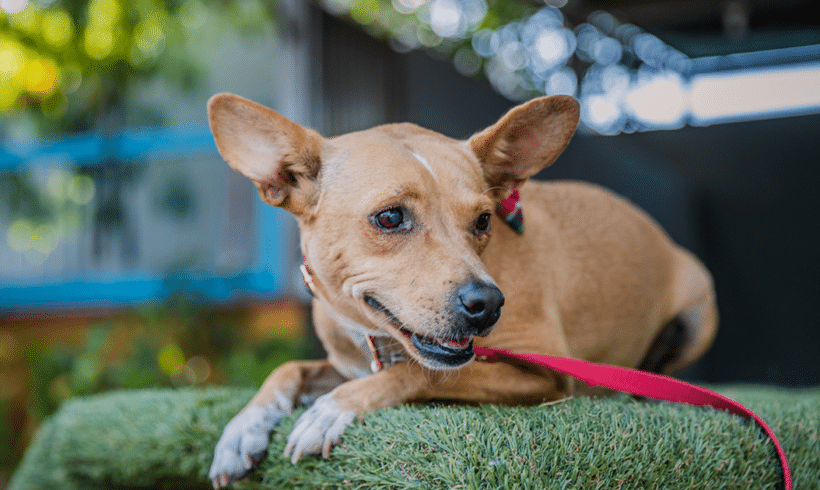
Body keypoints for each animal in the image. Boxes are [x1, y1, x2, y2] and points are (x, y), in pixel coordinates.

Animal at [205, 92, 716, 486]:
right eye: (390, 216)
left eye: (484, 220)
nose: (488, 304)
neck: (376, 342)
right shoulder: (348, 364)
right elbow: (289, 369)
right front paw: (242, 430)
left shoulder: (545, 373)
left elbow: (424, 375)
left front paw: (333, 410)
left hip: (700, 305)